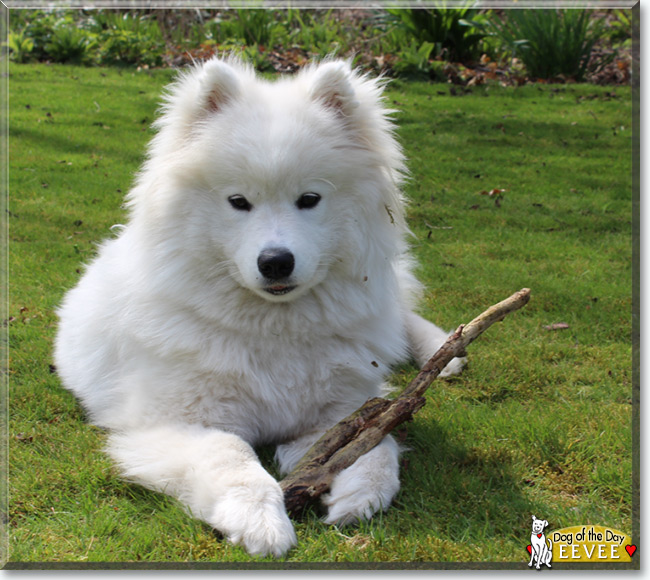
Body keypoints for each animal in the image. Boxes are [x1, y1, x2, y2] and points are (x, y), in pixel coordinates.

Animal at [53, 55, 464, 556]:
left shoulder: (341, 409)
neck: (274, 328)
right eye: (238, 201)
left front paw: (361, 494)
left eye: (309, 199)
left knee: (401, 313)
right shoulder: (169, 424)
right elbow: (230, 455)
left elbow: (377, 448)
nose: (275, 262)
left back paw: (445, 352)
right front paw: (259, 522)